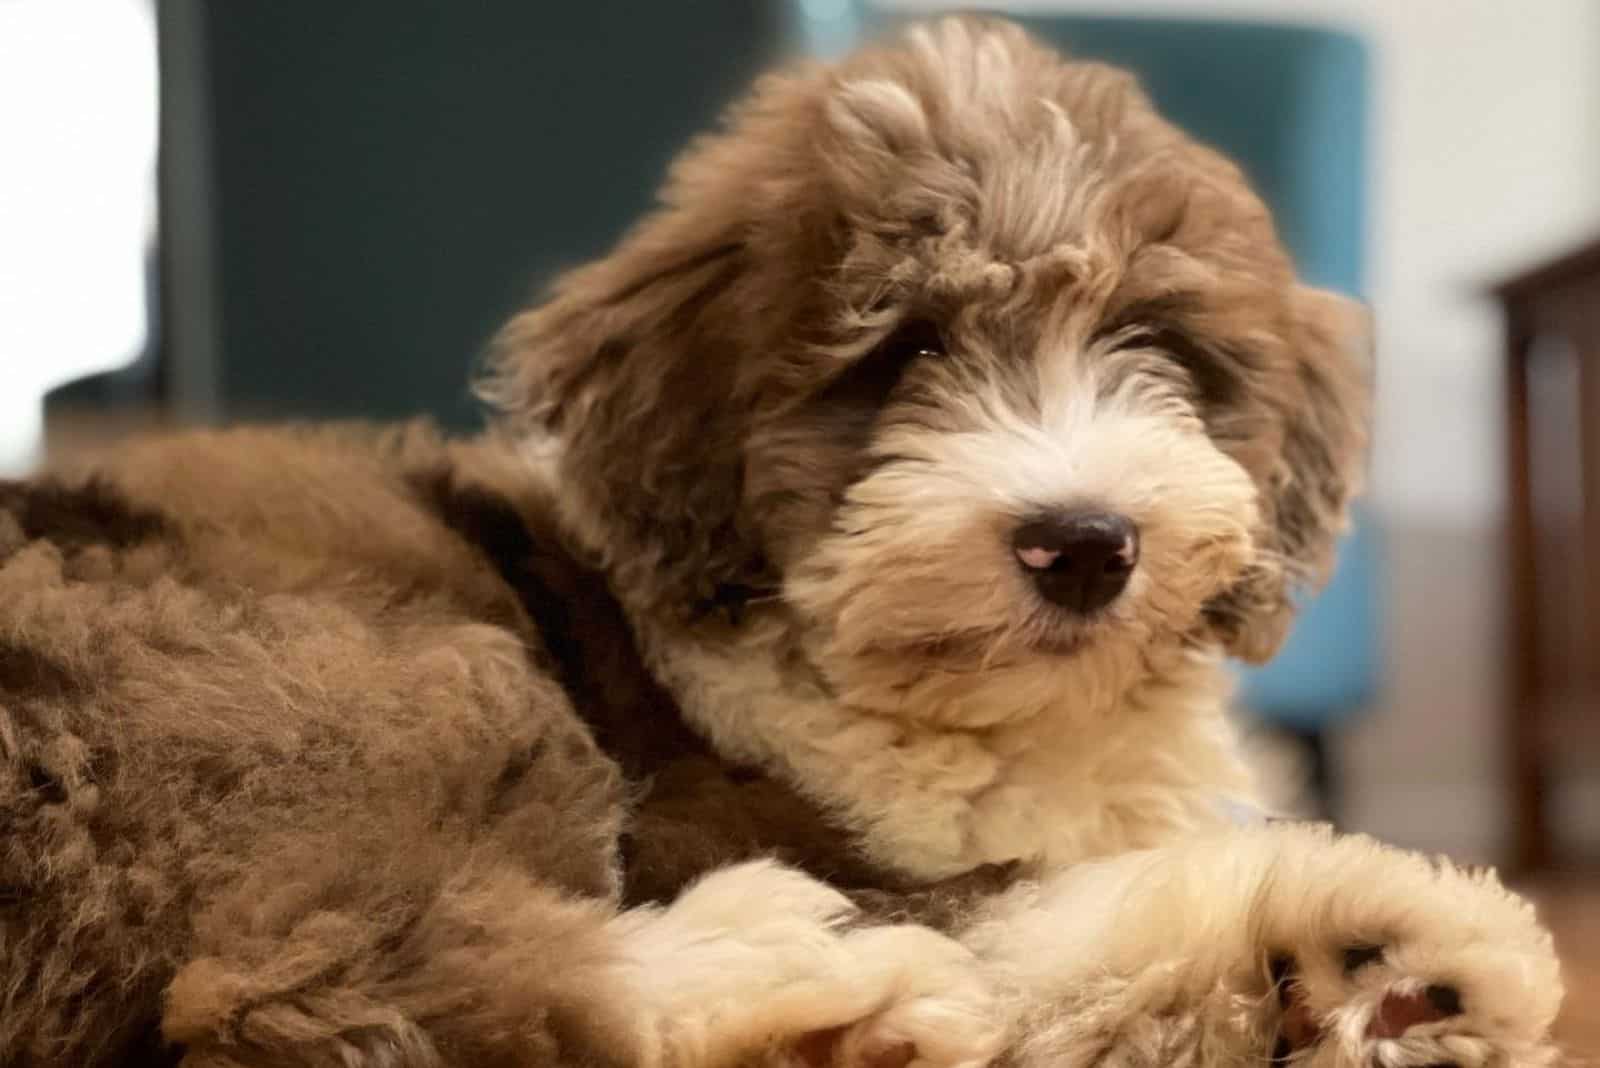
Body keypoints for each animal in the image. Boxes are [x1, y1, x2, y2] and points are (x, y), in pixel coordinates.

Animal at [0, 16, 1561, 1068]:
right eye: (905, 350)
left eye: (1157, 345)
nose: (1082, 543)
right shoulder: (730, 803)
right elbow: (1026, 907)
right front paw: (1382, 929)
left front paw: (1369, 977)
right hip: (369, 681)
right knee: (326, 987)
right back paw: (800, 981)